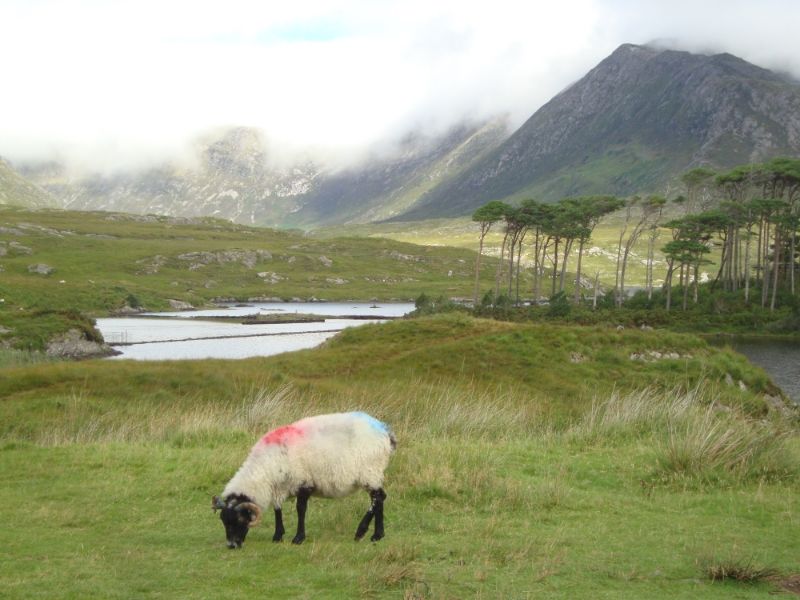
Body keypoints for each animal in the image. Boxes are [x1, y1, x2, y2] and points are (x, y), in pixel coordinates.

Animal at [212, 412, 396, 548]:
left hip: (370, 471)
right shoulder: (279, 487)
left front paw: (298, 538)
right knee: (380, 498)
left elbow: (300, 509)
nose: (231, 545)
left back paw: (361, 532)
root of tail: (385, 430)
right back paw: (377, 535)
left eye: (239, 520)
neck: (265, 467)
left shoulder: (304, 482)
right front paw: (278, 535)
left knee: (377, 498)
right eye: (223, 521)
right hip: (374, 473)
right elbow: (277, 509)